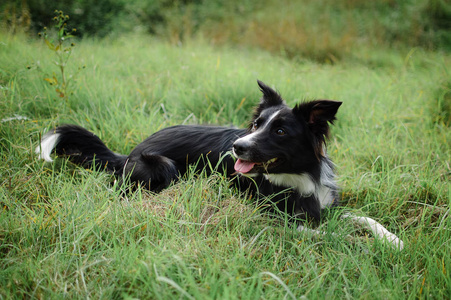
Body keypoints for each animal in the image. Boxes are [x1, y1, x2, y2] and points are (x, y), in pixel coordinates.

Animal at [34, 81, 402, 250]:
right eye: (256, 125)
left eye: (280, 131)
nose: (238, 148)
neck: (296, 174)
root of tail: (127, 153)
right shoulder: (275, 218)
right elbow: (331, 233)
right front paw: (360, 244)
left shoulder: (325, 203)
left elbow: (363, 217)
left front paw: (392, 240)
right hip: (162, 166)